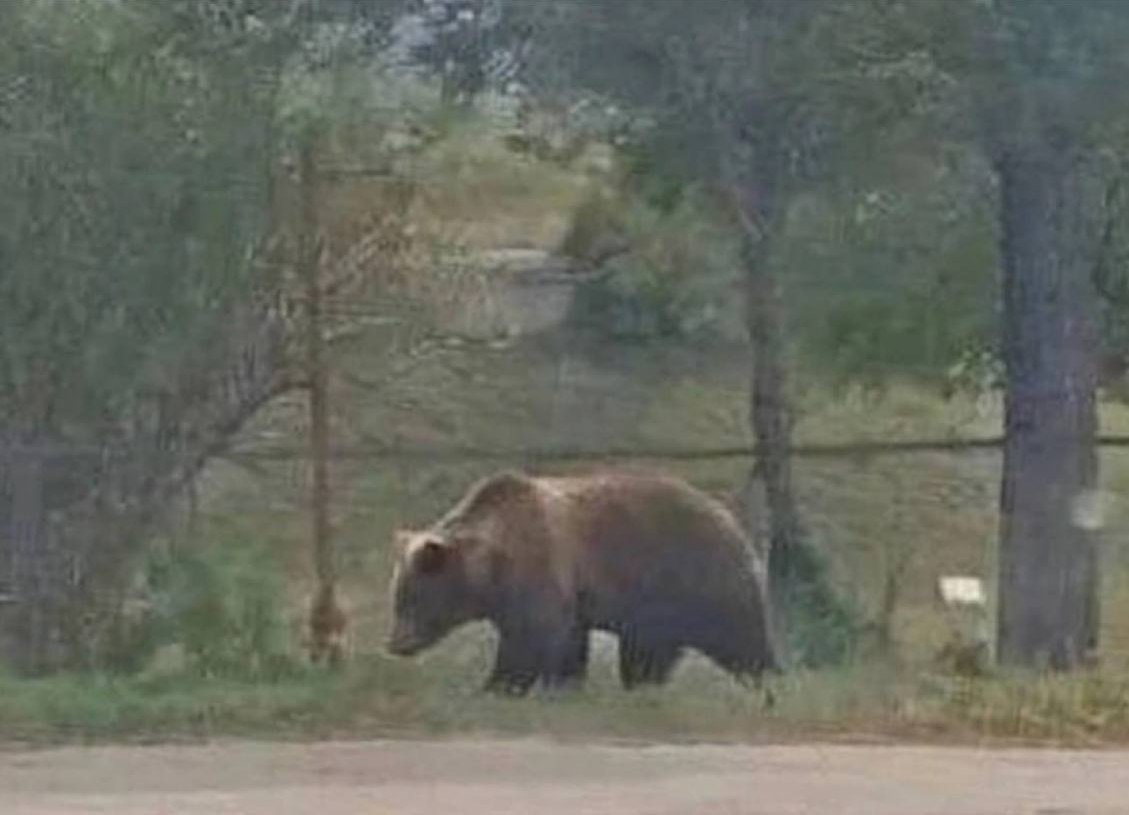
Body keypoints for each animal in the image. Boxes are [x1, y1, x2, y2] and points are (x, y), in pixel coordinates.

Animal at [385, 469, 778, 696]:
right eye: (398, 597)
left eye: (413, 598)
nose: (397, 644)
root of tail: (731, 519)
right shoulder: (567, 596)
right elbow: (568, 645)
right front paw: (565, 688)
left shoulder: (540, 566)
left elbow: (531, 638)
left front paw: (495, 688)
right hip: (655, 606)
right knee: (647, 651)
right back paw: (642, 689)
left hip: (699, 578)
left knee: (742, 642)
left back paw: (767, 686)